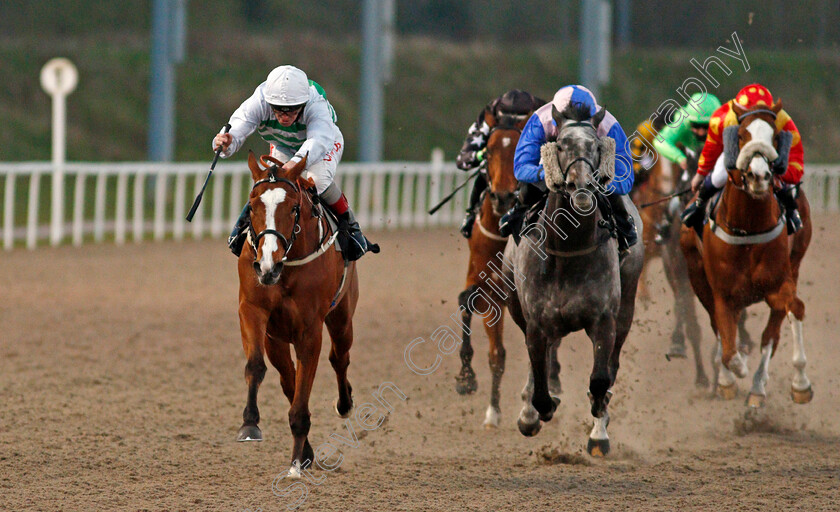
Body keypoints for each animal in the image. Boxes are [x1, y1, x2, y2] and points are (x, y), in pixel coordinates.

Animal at [235, 151, 360, 476]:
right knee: (287, 379)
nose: (268, 265)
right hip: (277, 338)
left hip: (342, 317)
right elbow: (257, 366)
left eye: (293, 208)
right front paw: (250, 424)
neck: (287, 267)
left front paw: (294, 465)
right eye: (252, 206)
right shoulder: (253, 311)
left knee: (339, 357)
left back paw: (344, 404)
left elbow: (302, 399)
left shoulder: (310, 330)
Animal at [456, 109, 560, 428]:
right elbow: (495, 354)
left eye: (517, 149)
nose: (502, 197)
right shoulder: (488, 291)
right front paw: (486, 403)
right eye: (488, 151)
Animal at [502, 102, 648, 454]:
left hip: (627, 307)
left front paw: (598, 423)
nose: (580, 187)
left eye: (595, 146)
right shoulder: (536, 323)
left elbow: (600, 380)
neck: (568, 251)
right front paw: (536, 410)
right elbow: (540, 380)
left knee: (611, 366)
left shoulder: (605, 320)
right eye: (560, 145)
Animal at [680, 99, 812, 404]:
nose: (759, 176)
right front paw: (731, 374)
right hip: (696, 274)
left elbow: (793, 311)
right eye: (740, 136)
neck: (747, 229)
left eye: (775, 137)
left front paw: (799, 384)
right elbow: (728, 348)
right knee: (718, 329)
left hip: (795, 263)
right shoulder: (722, 293)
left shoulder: (779, 283)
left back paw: (757, 389)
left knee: (771, 333)